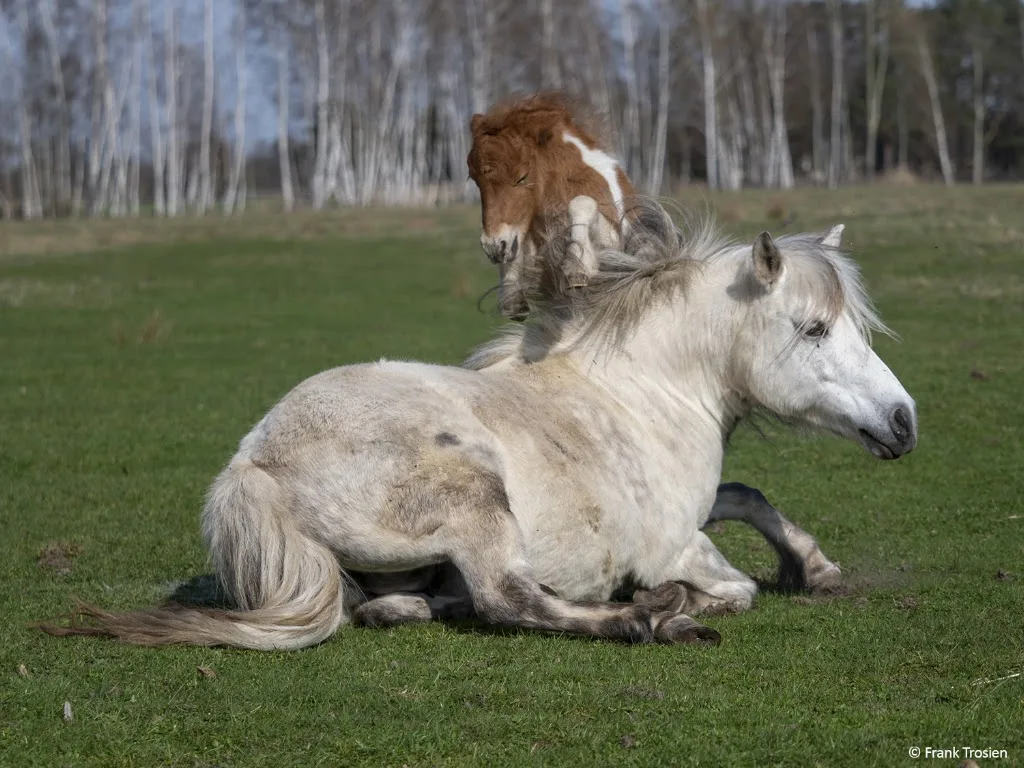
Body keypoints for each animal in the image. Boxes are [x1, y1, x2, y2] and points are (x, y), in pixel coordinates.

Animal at [40, 201, 917, 650]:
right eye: (813, 329)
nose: (904, 422)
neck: (643, 394)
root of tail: (255, 465)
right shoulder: (674, 541)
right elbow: (736, 585)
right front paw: (685, 596)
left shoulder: (702, 504)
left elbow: (747, 494)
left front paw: (815, 567)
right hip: (473, 497)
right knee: (508, 598)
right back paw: (648, 617)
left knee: (398, 607)